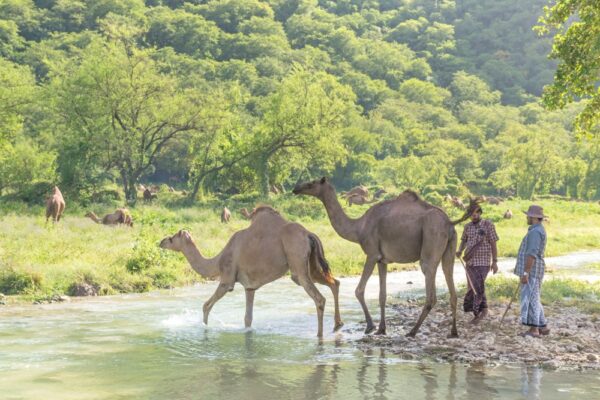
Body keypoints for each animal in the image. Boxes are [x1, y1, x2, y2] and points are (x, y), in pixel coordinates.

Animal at [158, 206, 342, 338]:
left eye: (172, 238)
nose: (161, 241)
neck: (217, 261)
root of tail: (309, 234)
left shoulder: (226, 280)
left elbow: (206, 305)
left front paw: (205, 328)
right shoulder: (250, 287)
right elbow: (248, 318)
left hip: (298, 265)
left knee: (319, 298)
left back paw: (319, 335)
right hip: (310, 266)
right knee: (334, 282)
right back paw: (338, 324)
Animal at [292, 178, 476, 338]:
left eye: (311, 183)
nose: (296, 189)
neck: (358, 228)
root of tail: (450, 223)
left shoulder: (372, 253)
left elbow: (359, 290)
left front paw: (369, 326)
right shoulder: (383, 260)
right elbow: (382, 295)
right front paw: (381, 329)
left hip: (431, 240)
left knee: (431, 290)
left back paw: (412, 331)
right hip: (450, 247)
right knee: (450, 284)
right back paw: (453, 332)